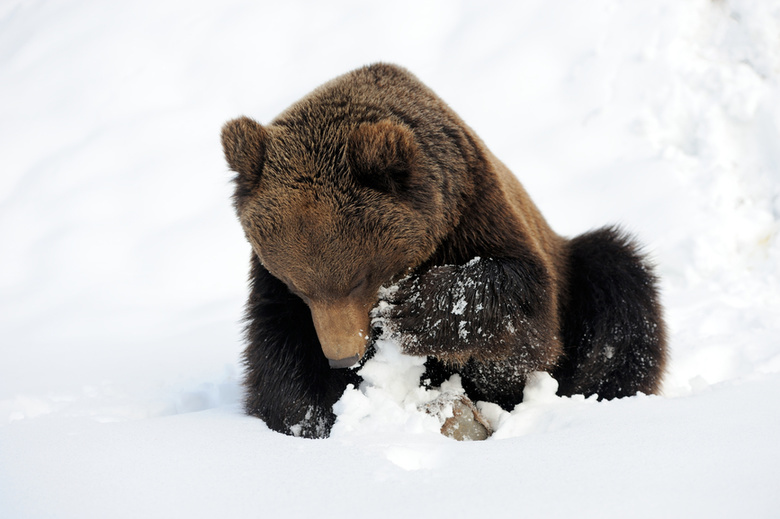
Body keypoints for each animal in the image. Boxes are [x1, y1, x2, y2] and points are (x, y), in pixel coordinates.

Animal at [219, 63, 664, 440]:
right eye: (298, 286)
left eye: (360, 278)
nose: (343, 357)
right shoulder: (272, 286)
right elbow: (277, 350)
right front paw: (308, 420)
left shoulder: (476, 210)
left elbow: (522, 307)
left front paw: (410, 310)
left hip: (580, 276)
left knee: (618, 286)